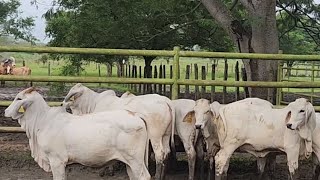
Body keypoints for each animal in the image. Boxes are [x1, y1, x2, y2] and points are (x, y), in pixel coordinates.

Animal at [4, 86, 150, 179]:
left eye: (19, 98)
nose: (5, 111)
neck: (42, 121)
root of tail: (135, 115)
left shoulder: (57, 160)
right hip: (130, 162)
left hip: (135, 160)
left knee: (144, 176)